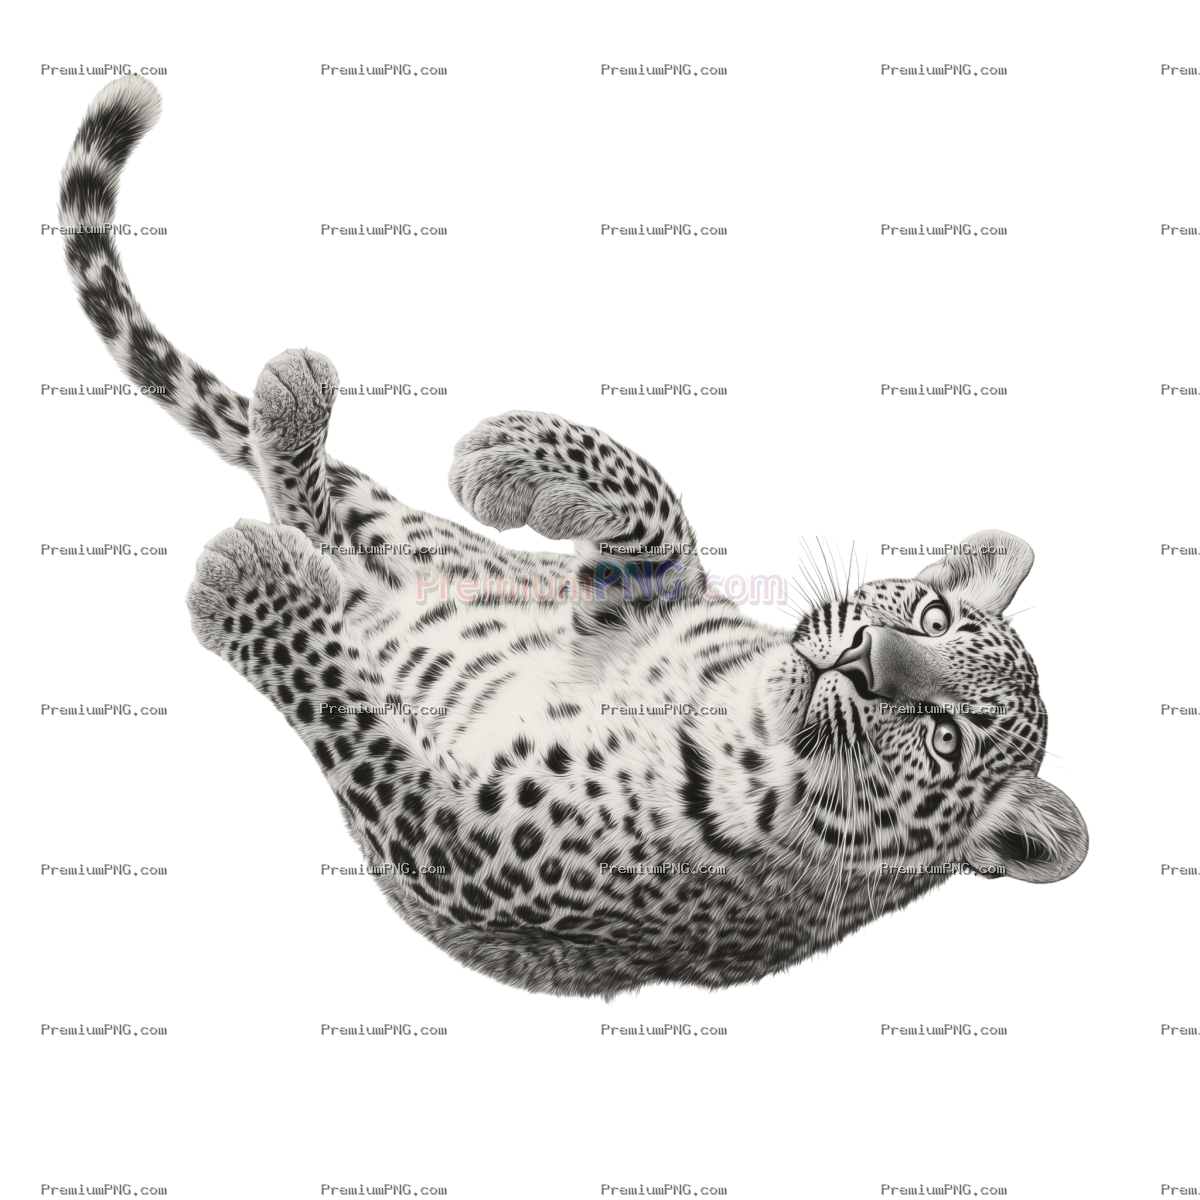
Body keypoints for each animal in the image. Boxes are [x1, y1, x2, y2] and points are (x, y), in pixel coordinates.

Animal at [55, 76, 1089, 1001]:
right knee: (318, 508)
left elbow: (352, 716)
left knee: (320, 551)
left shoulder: (463, 848)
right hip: (432, 548)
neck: (741, 715)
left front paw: (244, 592)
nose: (868, 661)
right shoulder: (630, 606)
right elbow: (657, 510)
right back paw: (297, 408)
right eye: (932, 614)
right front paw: (510, 455)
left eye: (947, 738)